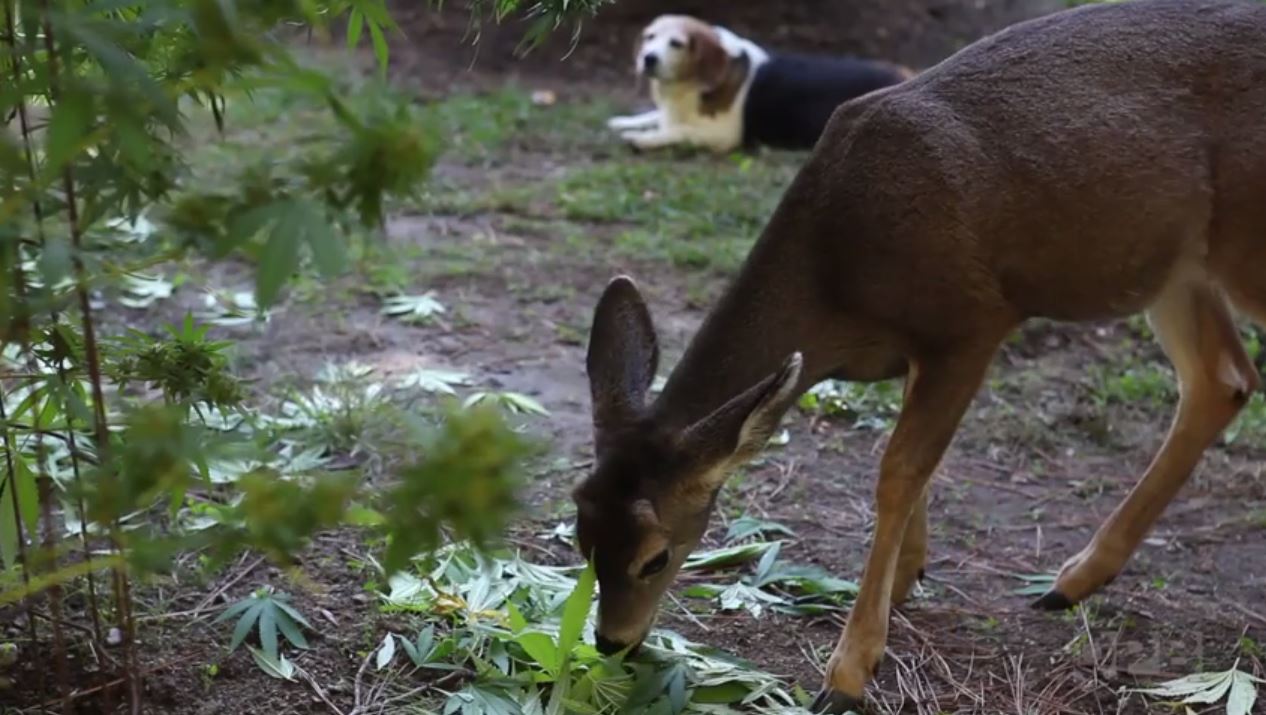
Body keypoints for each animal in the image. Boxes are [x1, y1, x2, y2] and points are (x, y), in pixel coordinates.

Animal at [607, 14, 916, 153]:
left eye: (676, 44)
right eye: (649, 37)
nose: (648, 58)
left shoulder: (722, 136)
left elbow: (679, 130)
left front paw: (643, 138)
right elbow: (655, 116)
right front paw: (624, 121)